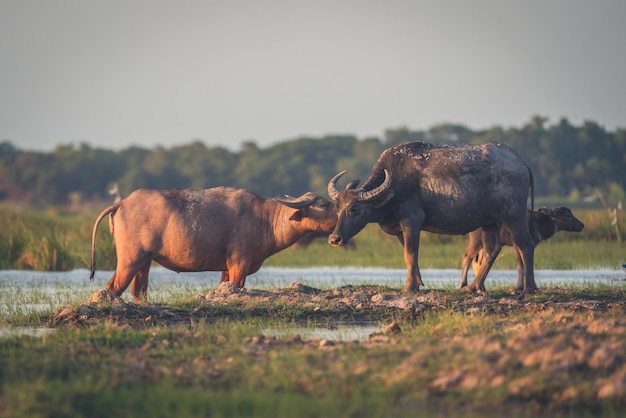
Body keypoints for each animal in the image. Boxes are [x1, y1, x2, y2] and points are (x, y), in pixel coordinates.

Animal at [89, 187, 336, 300]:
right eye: (323, 204)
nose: (341, 211)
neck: (263, 219)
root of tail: (122, 202)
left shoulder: (227, 268)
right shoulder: (239, 264)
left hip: (144, 262)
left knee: (138, 290)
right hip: (129, 260)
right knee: (113, 287)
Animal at [324, 140, 532, 294]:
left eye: (354, 209)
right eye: (337, 209)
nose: (334, 239)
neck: (395, 185)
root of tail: (520, 162)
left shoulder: (411, 222)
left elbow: (410, 254)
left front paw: (408, 287)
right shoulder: (400, 229)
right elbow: (410, 257)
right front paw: (417, 284)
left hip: (514, 216)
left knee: (524, 244)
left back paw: (528, 288)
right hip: (489, 223)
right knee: (492, 250)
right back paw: (474, 287)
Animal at [456, 206, 584, 290]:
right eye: (567, 215)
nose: (582, 225)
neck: (538, 224)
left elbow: (521, 264)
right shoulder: (517, 244)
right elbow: (520, 265)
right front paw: (518, 287)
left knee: (478, 260)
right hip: (476, 241)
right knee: (466, 256)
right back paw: (463, 284)